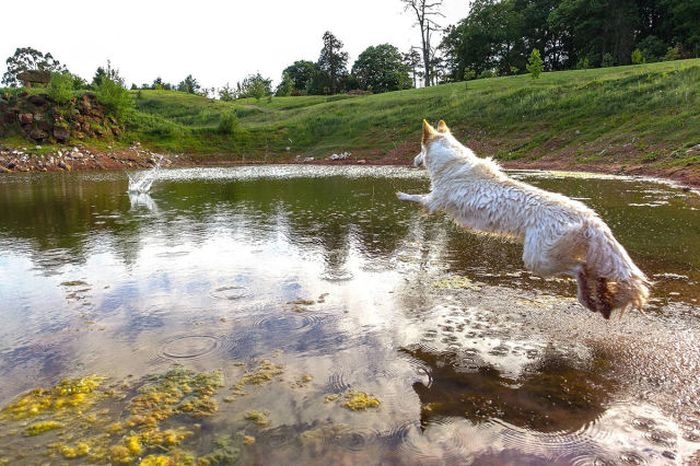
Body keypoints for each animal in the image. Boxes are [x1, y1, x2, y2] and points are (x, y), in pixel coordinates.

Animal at [400, 118, 652, 318]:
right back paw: (599, 298)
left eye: (419, 150)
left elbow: (416, 198)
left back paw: (591, 298)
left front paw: (401, 195)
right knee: (591, 270)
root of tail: (589, 216)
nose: (412, 160)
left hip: (537, 259)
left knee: (581, 268)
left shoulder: (434, 201)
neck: (452, 163)